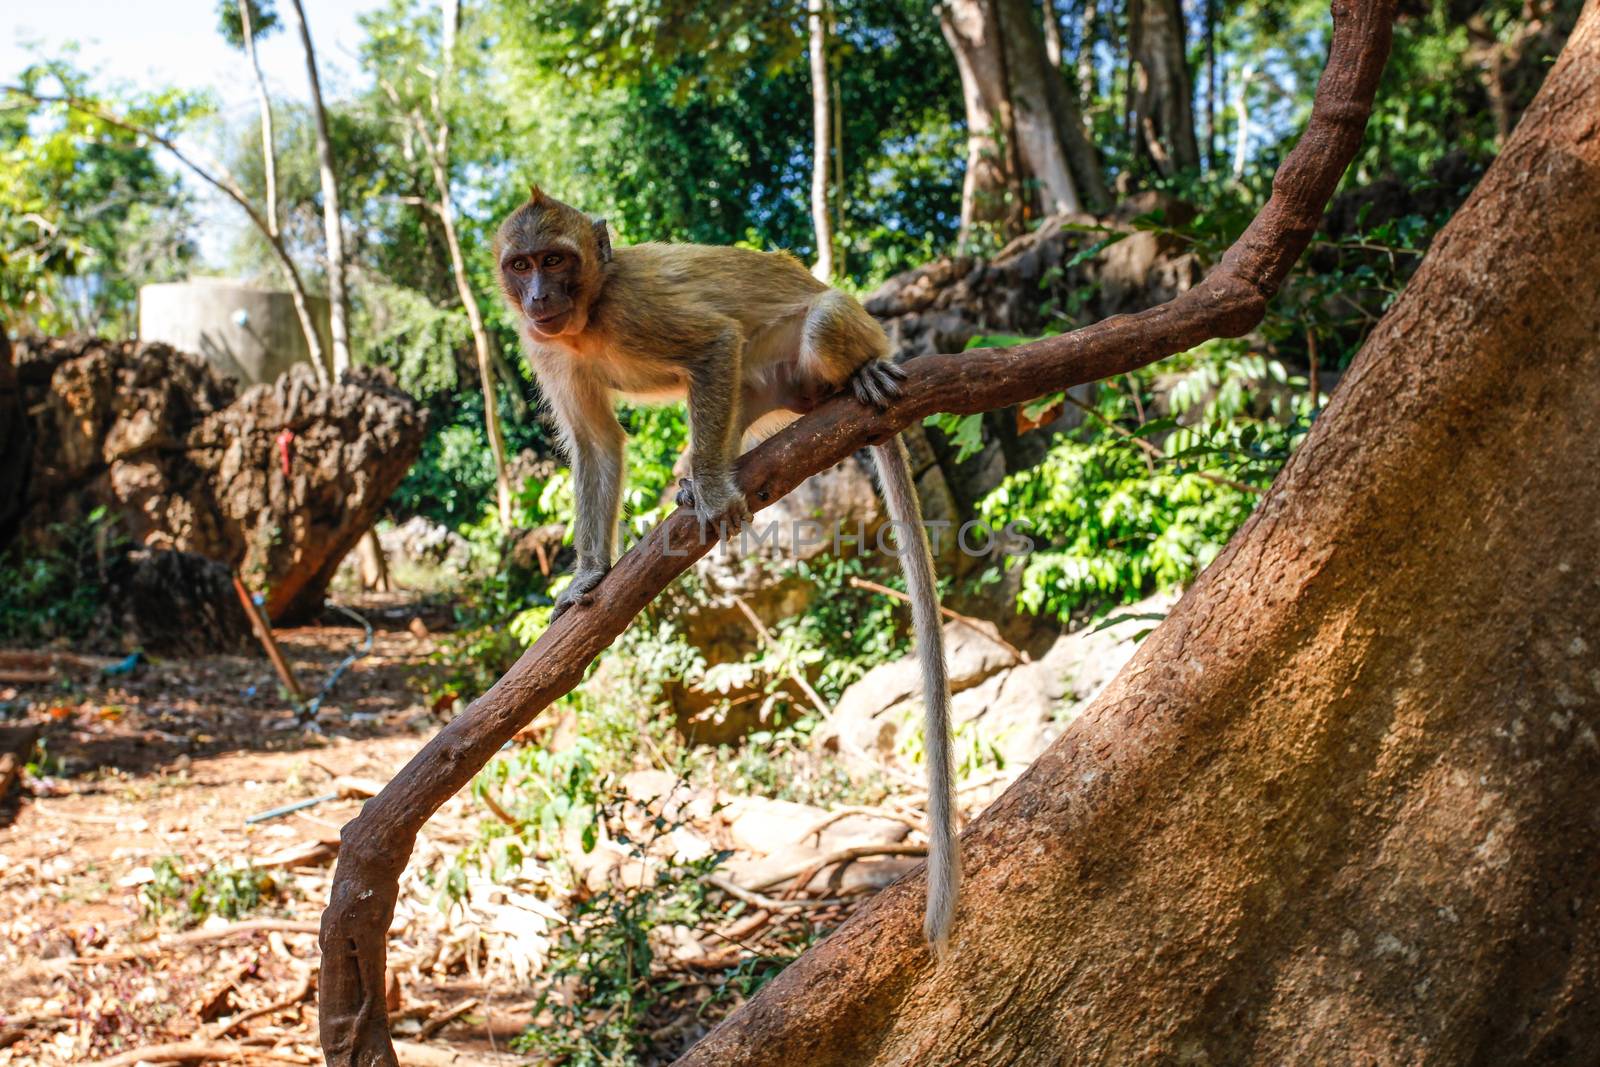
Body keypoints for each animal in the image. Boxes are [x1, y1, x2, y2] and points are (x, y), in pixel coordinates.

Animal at [492, 185, 953, 953]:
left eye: (555, 260)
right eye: (520, 263)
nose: (536, 296)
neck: (588, 315)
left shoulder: (634, 309)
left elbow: (710, 345)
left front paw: (709, 489)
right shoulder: (547, 347)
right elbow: (597, 443)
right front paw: (590, 573)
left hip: (826, 334)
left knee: (815, 323)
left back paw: (852, 375)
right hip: (764, 391)